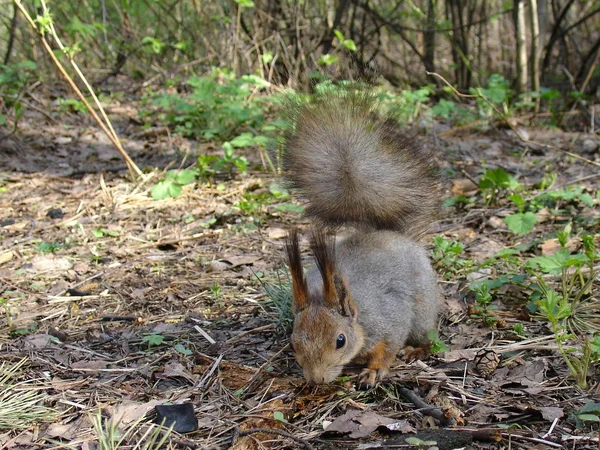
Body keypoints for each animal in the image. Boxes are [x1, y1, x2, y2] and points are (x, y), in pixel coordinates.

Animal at [282, 89, 440, 384]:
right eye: (293, 343)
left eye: (340, 341)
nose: (315, 379)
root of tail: (390, 234)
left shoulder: (390, 320)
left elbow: (388, 347)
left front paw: (375, 370)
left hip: (423, 307)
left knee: (426, 333)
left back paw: (418, 349)